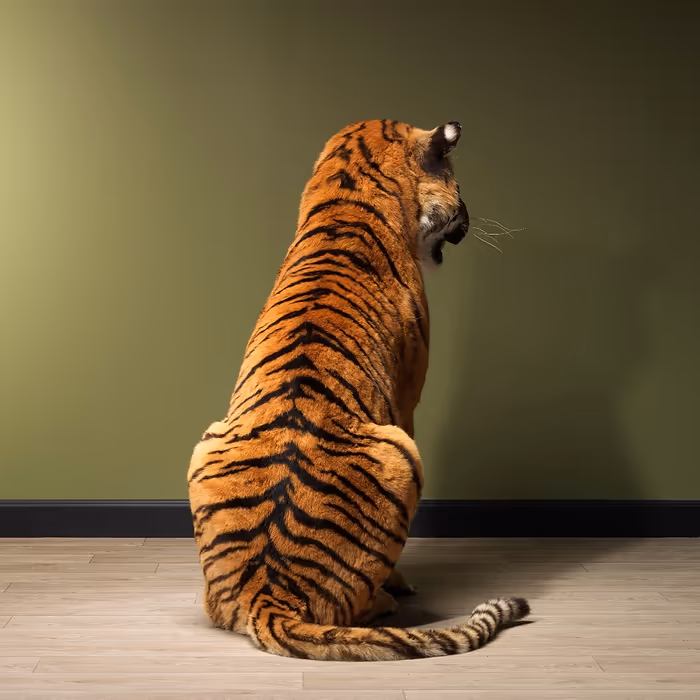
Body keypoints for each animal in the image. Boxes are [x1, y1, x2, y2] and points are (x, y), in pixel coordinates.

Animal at [187, 119, 529, 661]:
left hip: (206, 443)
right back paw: (388, 600)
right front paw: (401, 582)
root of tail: (267, 593)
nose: (469, 218)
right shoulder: (407, 401)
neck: (348, 185)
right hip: (402, 453)